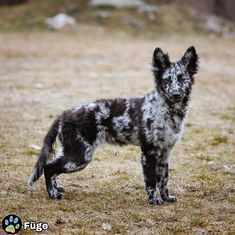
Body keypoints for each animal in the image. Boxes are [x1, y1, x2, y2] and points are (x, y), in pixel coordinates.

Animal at [28, 46, 198, 205]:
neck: (167, 110)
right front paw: (154, 200)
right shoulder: (149, 152)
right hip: (80, 156)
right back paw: (53, 194)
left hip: (73, 154)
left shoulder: (166, 152)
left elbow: (163, 180)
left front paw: (166, 197)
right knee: (49, 168)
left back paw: (57, 189)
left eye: (182, 79)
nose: (176, 94)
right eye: (167, 80)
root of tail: (63, 114)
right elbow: (151, 181)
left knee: (51, 168)